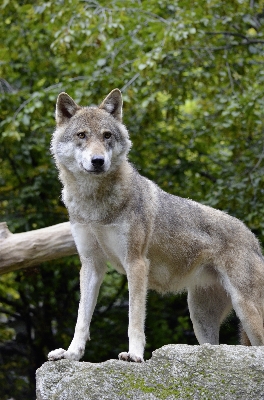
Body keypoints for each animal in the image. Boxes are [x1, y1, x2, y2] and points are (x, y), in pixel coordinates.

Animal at [47, 89, 264, 364]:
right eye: (82, 135)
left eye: (107, 135)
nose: (98, 161)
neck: (95, 205)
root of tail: (254, 240)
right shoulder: (91, 264)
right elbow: (81, 319)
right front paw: (71, 353)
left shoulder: (137, 263)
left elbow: (134, 318)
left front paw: (134, 355)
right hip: (200, 319)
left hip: (245, 309)